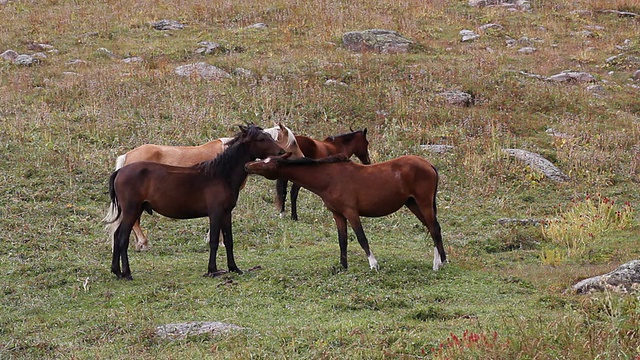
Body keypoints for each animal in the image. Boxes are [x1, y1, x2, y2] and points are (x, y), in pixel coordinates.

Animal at [105, 125, 284, 280]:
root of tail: (120, 171)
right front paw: (212, 270)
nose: (281, 152)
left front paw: (234, 268)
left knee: (116, 236)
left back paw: (117, 271)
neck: (220, 175)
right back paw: (127, 273)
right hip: (132, 211)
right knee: (122, 238)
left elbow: (228, 240)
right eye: (261, 138)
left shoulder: (226, 213)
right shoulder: (215, 213)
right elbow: (214, 240)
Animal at [248, 153, 448, 272]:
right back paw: (439, 261)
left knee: (434, 229)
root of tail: (429, 164)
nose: (247, 165)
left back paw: (440, 263)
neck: (330, 178)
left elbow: (361, 238)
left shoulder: (351, 212)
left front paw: (373, 264)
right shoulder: (338, 214)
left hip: (423, 203)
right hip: (413, 204)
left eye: (268, 164)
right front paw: (343, 266)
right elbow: (342, 240)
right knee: (433, 229)